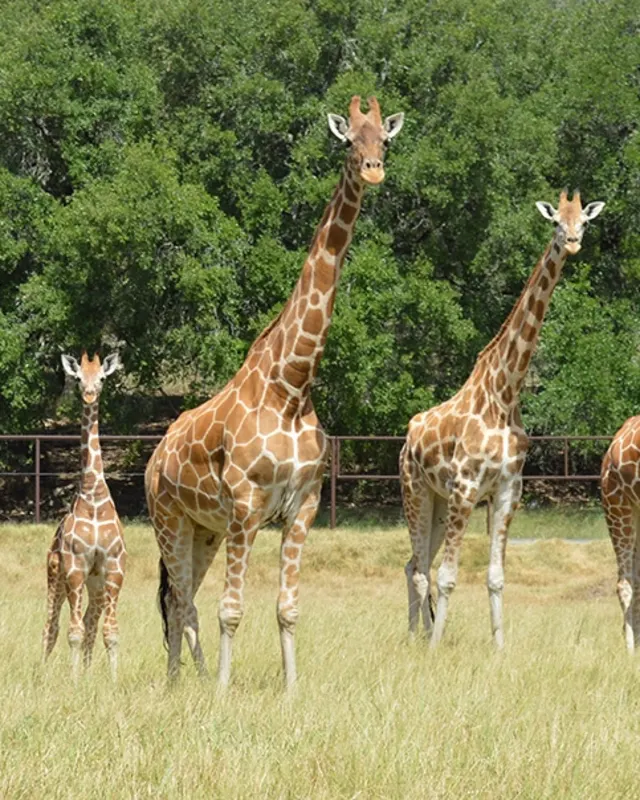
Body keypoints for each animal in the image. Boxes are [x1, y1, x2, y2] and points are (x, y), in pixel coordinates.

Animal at [41, 351, 126, 681]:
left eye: (101, 378)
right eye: (78, 377)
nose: (89, 394)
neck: (93, 497)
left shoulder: (113, 568)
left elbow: (109, 631)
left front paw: (112, 682)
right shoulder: (76, 567)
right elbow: (73, 632)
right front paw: (75, 681)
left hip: (96, 584)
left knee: (91, 620)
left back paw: (89, 672)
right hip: (56, 576)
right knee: (50, 628)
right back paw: (47, 672)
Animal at [145, 95, 405, 687]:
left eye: (384, 139)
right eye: (349, 141)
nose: (373, 170)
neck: (292, 386)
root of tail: (153, 457)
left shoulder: (301, 508)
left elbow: (286, 608)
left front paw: (290, 690)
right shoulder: (245, 508)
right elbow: (231, 609)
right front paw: (223, 692)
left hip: (204, 530)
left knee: (183, 602)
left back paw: (190, 679)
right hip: (169, 519)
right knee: (178, 600)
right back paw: (178, 684)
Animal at [400, 190, 605, 648]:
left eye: (583, 221)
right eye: (555, 222)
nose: (571, 243)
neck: (505, 391)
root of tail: (407, 440)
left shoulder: (508, 489)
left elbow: (495, 576)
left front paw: (499, 647)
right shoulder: (465, 487)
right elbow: (449, 576)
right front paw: (437, 648)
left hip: (438, 502)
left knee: (411, 564)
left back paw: (416, 635)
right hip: (416, 491)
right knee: (420, 569)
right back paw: (423, 640)